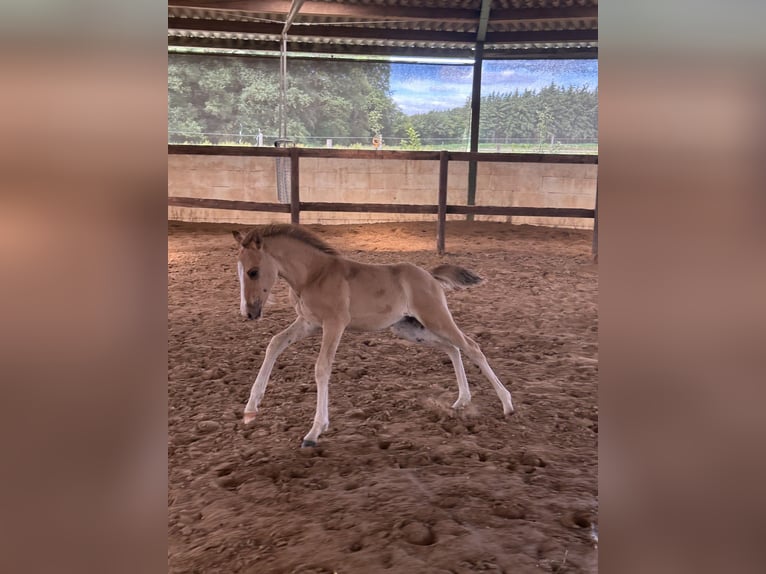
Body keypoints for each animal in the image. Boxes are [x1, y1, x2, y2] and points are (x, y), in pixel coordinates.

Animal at [233, 224, 514, 447]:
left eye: (253, 271)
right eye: (239, 271)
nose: (249, 312)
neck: (314, 275)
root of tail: (430, 276)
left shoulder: (334, 324)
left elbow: (322, 368)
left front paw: (314, 432)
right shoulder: (309, 323)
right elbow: (275, 343)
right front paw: (250, 410)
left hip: (435, 317)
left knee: (471, 346)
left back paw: (507, 405)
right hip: (410, 328)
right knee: (452, 349)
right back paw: (461, 401)